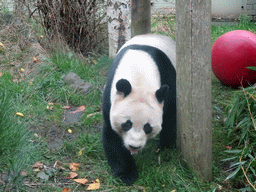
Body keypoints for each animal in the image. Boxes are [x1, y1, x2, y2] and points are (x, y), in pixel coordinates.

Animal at [102, 33, 176, 185]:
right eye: (126, 124)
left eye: (147, 127)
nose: (134, 147)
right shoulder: (110, 97)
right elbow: (112, 134)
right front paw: (127, 174)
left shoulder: (167, 78)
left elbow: (170, 115)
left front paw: (167, 146)